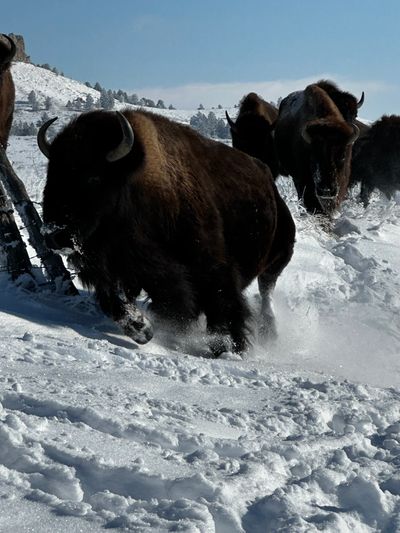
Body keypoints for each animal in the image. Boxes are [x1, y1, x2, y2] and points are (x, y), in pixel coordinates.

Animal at [37, 108, 296, 356]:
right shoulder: (118, 267)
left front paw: (229, 348)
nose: (54, 235)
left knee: (266, 291)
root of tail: (271, 186)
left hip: (279, 257)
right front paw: (144, 330)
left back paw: (269, 332)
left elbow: (222, 303)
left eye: (93, 177)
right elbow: (115, 300)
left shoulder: (211, 265)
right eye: (52, 174)